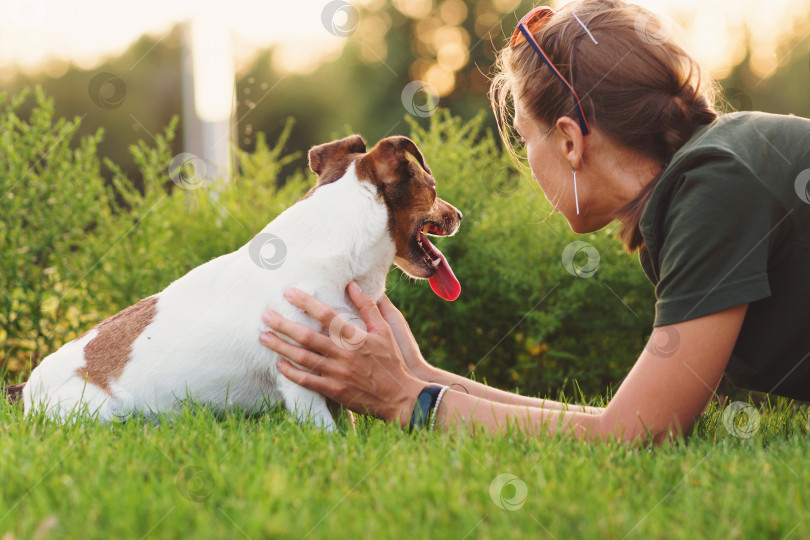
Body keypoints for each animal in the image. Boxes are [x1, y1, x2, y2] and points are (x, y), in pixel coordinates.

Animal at [9, 136, 460, 430]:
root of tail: (28, 389)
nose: (458, 215)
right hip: (102, 413)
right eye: (433, 187)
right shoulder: (300, 382)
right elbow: (329, 435)